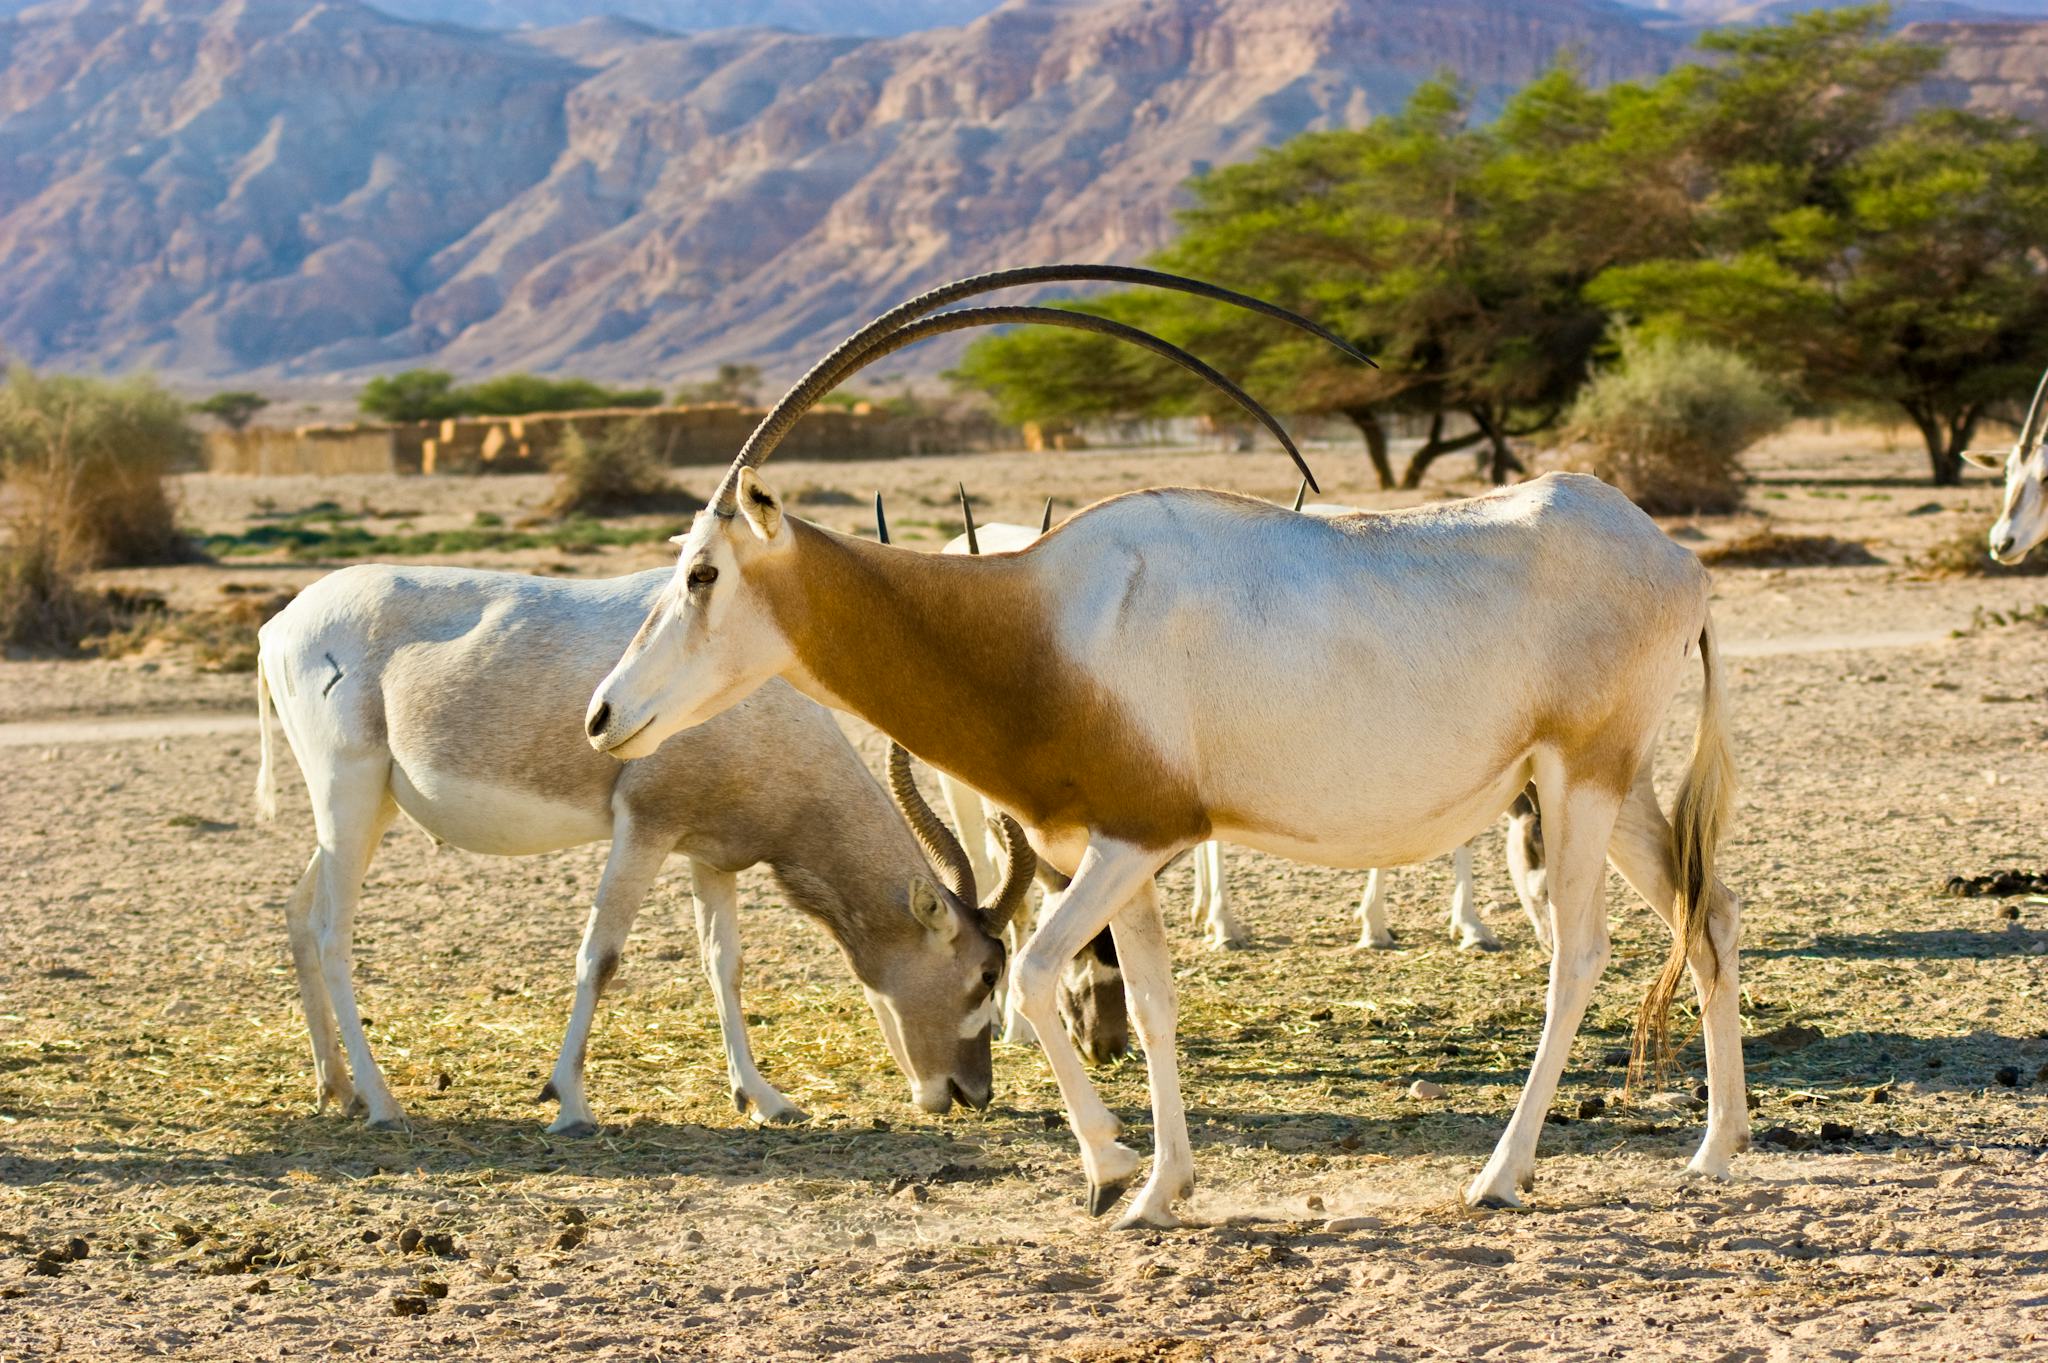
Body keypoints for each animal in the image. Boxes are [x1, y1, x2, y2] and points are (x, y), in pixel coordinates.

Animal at [253, 560, 1024, 1121]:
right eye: (987, 973)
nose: (972, 1093)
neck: (753, 697)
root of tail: (280, 626)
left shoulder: (712, 853)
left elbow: (724, 965)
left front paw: (764, 1099)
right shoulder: (644, 826)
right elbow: (602, 955)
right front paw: (569, 1103)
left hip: (369, 807)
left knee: (297, 912)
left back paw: (337, 1089)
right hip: (347, 792)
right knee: (332, 931)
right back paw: (383, 1101)